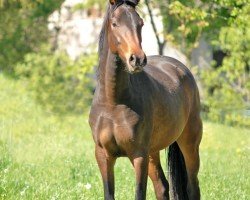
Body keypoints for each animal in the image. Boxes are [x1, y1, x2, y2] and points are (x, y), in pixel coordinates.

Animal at [89, 0, 202, 199]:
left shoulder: (139, 155)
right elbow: (109, 193)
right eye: (114, 24)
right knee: (162, 187)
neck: (113, 103)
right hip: (153, 152)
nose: (137, 59)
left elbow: (139, 193)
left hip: (189, 144)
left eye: (140, 23)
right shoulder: (103, 155)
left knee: (192, 187)